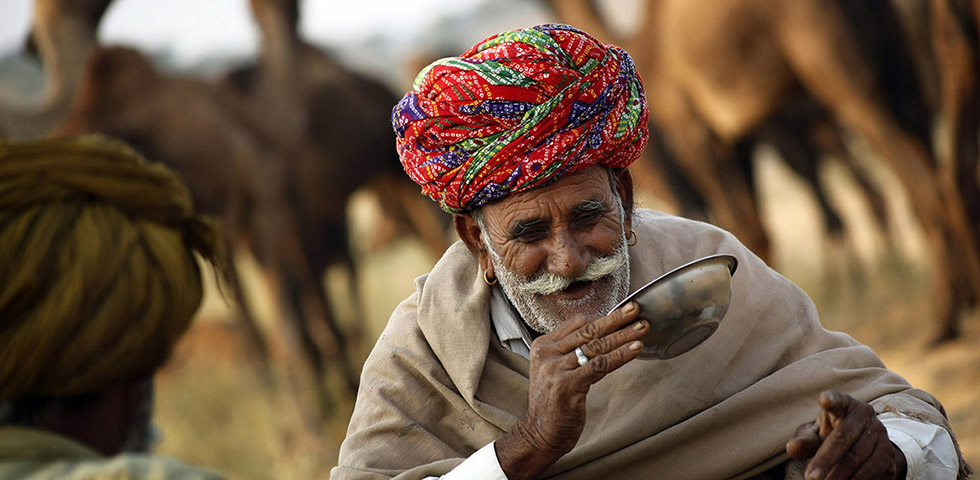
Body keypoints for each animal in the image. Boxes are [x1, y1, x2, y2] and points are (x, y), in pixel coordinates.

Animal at [546, 0, 980, 341]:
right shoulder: (737, 139)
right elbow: (753, 231)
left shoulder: (696, 135)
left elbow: (745, 228)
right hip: (895, 64)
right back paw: (959, 299)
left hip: (837, 67)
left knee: (921, 182)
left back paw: (943, 320)